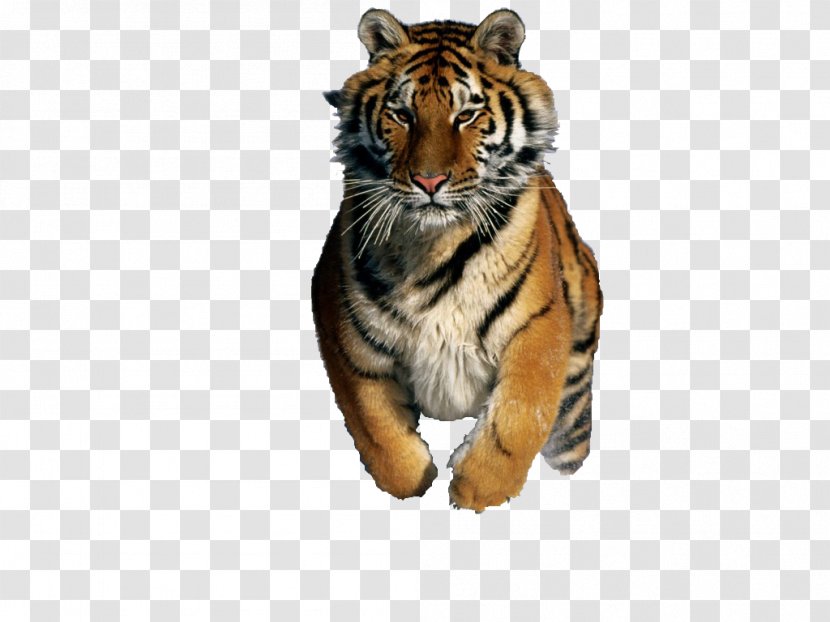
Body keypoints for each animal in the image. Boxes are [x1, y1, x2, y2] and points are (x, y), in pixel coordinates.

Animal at [311, 8, 602, 512]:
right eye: (401, 115)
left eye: (466, 115)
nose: (429, 181)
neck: (434, 244)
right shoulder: (342, 327)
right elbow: (378, 431)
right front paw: (418, 476)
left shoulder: (540, 325)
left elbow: (518, 417)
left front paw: (476, 488)